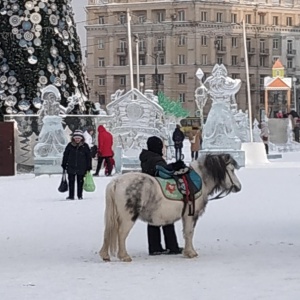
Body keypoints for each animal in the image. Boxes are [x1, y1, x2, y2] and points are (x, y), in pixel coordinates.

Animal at [100, 154, 241, 262]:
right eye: (232, 170)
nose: (238, 187)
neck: (200, 181)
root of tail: (116, 182)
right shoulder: (190, 215)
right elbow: (189, 232)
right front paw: (190, 253)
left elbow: (186, 233)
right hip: (128, 217)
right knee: (121, 234)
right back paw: (124, 256)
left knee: (108, 233)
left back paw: (105, 255)